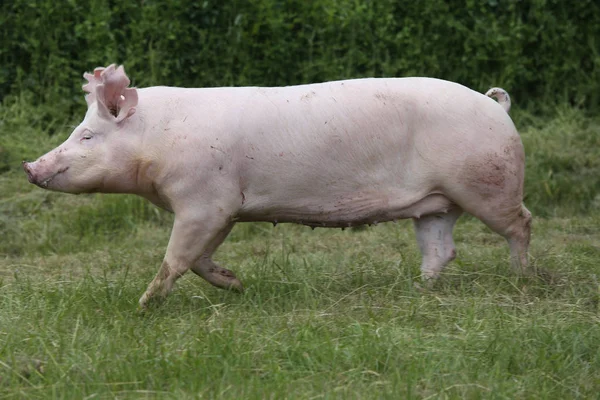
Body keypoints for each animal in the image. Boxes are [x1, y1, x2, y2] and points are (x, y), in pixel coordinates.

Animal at [22, 65, 528, 306]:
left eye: (87, 136)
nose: (29, 166)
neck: (157, 142)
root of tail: (495, 105)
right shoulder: (224, 208)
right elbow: (200, 259)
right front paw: (238, 285)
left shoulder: (206, 202)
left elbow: (176, 259)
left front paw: (142, 306)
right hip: (436, 204)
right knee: (441, 250)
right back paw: (416, 291)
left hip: (488, 183)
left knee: (521, 223)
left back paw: (522, 278)